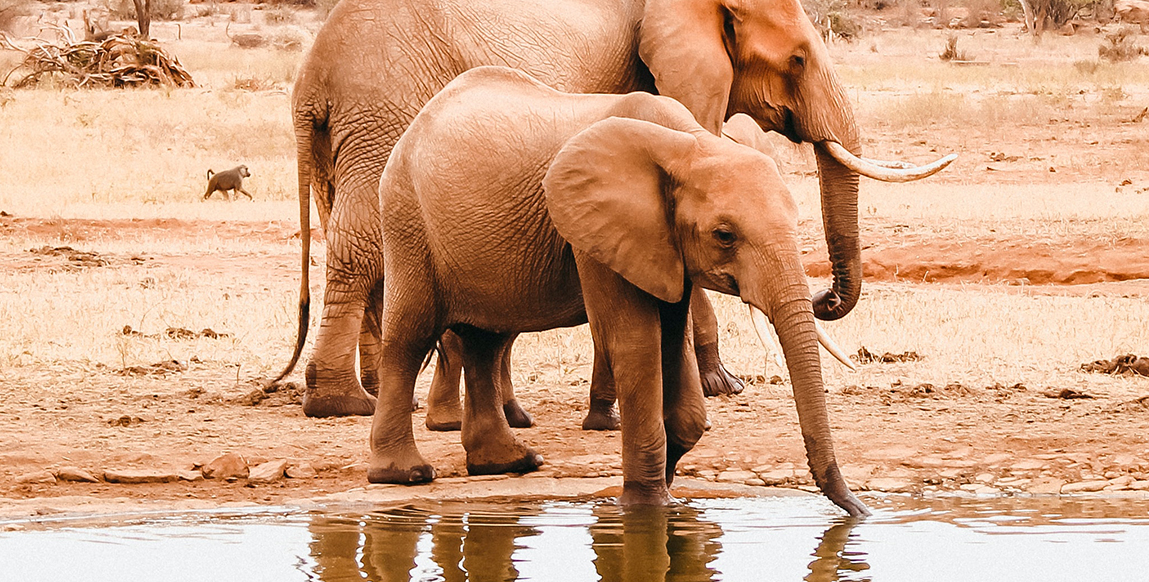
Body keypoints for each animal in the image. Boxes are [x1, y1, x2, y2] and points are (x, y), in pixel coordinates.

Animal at [278, 0, 951, 420]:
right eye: (798, 60)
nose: (824, 298)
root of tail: (310, 79)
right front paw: (722, 386)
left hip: (353, 130)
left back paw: (391, 396)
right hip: (384, 110)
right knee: (361, 243)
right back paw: (345, 405)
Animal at [372, 66, 864, 516]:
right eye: (725, 236)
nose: (858, 511)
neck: (689, 144)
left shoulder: (664, 243)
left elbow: (673, 343)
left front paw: (668, 487)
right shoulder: (594, 231)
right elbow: (636, 343)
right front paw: (647, 507)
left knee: (485, 341)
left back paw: (509, 464)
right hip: (407, 217)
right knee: (410, 337)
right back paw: (405, 474)